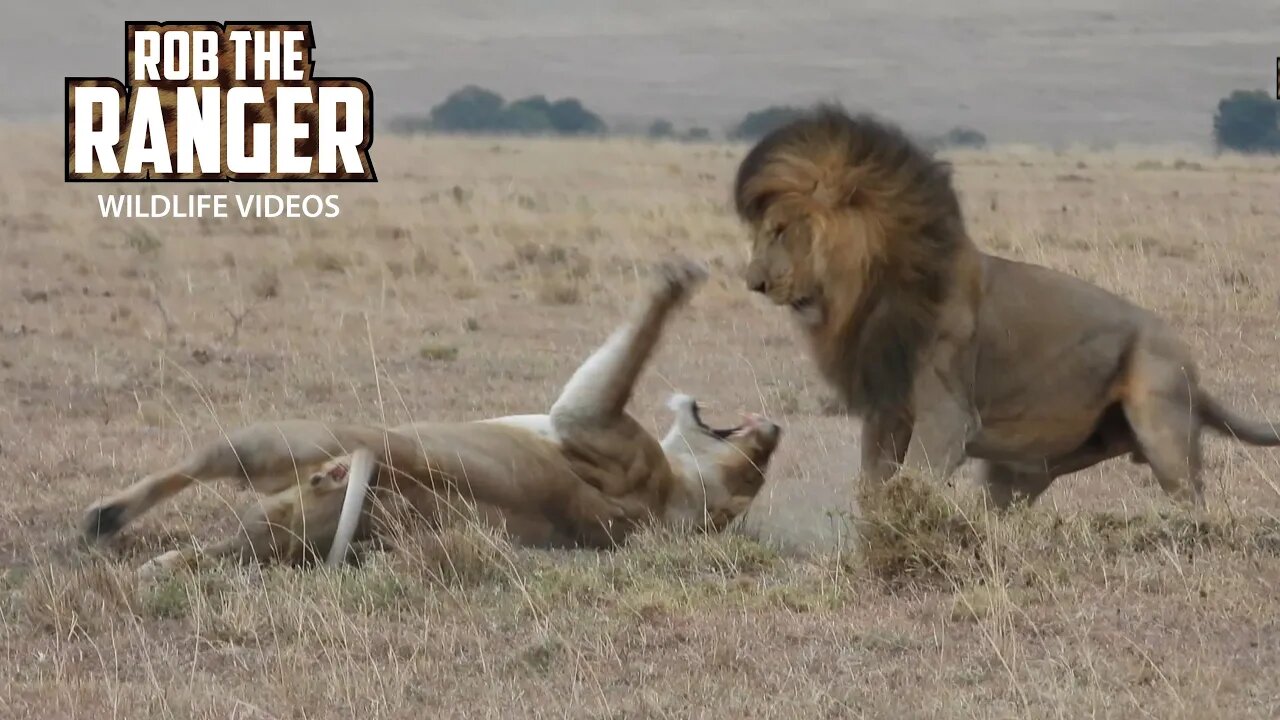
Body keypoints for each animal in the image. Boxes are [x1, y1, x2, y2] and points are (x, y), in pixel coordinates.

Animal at [85, 257, 778, 571]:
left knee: (193, 472)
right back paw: (154, 556)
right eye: (757, 467)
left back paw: (107, 519)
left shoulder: (589, 424)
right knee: (212, 547)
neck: (673, 493)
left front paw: (673, 285)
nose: (774, 430)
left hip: (296, 436)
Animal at [737, 105, 1280, 509]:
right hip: (1017, 472)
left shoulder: (947, 417)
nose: (753, 283)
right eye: (760, 232)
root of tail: (1193, 372)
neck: (868, 296)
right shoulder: (886, 413)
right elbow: (873, 488)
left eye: (780, 230)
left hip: (1162, 426)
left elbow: (911, 486)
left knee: (1192, 497)